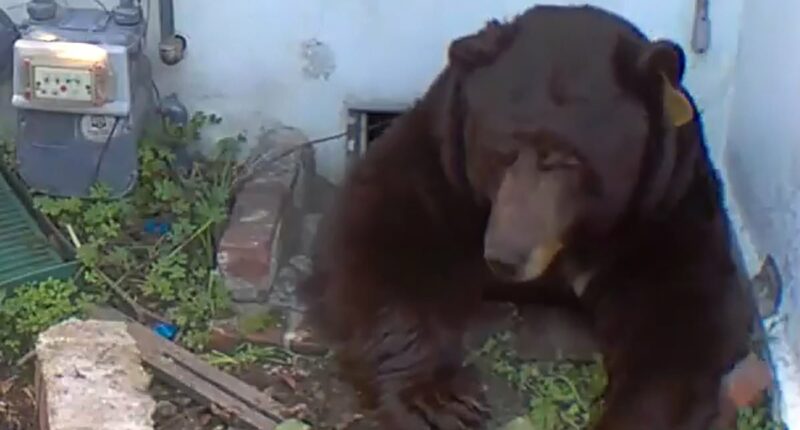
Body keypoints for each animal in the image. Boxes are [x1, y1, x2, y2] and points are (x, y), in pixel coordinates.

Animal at [298, 4, 754, 430]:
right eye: (501, 151)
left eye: (569, 159)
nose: (506, 257)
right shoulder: (442, 165)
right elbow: (381, 232)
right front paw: (439, 400)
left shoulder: (663, 209)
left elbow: (684, 311)